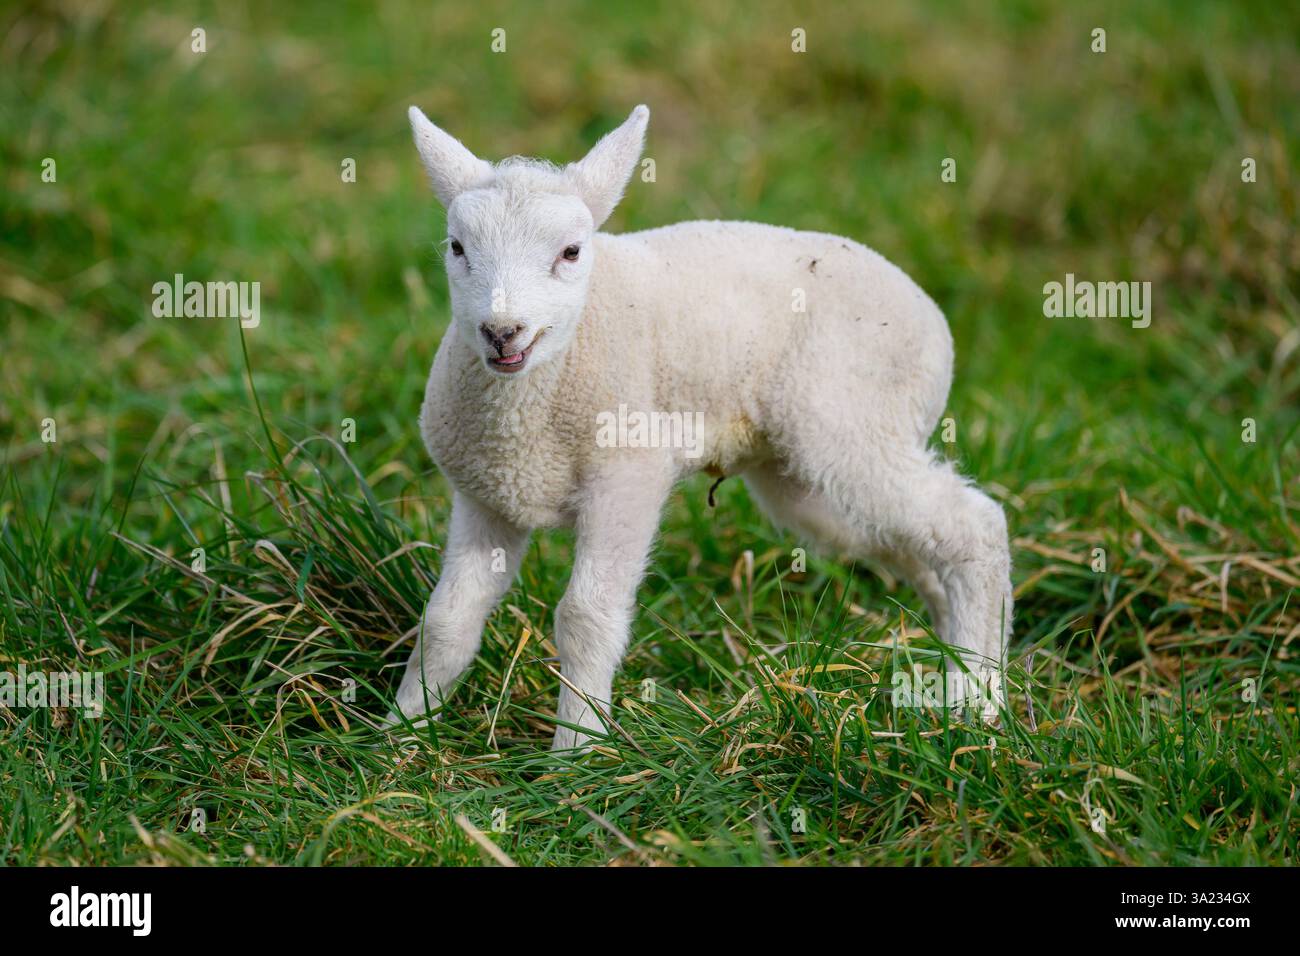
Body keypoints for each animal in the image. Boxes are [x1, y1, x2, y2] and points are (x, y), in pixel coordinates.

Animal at [392, 104, 1013, 750]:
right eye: (457, 247)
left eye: (571, 252)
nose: (501, 331)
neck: (531, 402)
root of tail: (936, 325)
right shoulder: (488, 495)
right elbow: (445, 622)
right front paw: (404, 735)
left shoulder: (627, 479)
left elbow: (585, 616)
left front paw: (577, 750)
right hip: (806, 478)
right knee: (919, 549)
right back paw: (952, 667)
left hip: (854, 419)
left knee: (973, 527)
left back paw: (977, 700)